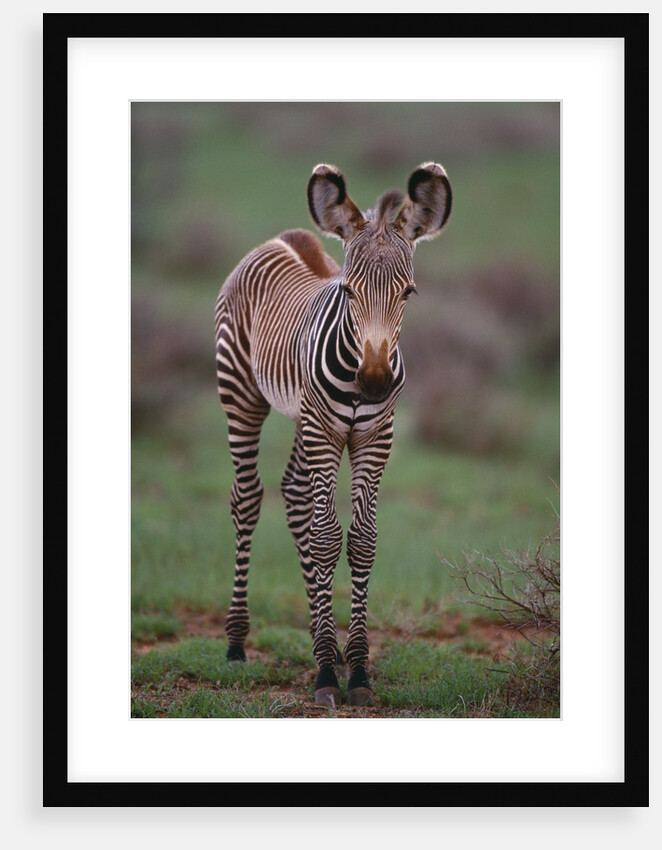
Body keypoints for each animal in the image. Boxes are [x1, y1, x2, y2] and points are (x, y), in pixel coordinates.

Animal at [214, 162, 452, 707]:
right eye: (348, 291)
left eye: (408, 293)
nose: (374, 381)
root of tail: (287, 236)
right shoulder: (324, 431)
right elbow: (326, 537)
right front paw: (326, 674)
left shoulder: (376, 437)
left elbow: (361, 539)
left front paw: (355, 668)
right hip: (242, 393)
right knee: (248, 498)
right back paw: (237, 642)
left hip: (303, 417)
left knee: (296, 496)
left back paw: (319, 637)